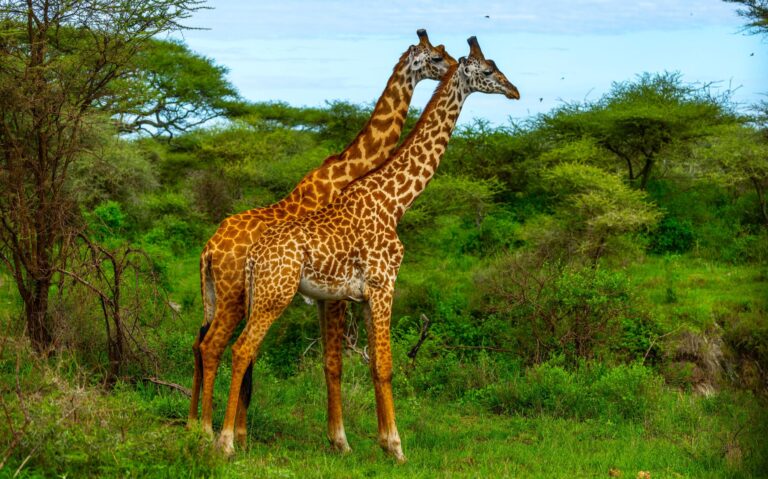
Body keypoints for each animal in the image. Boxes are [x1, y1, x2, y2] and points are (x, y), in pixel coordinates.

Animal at [188, 30, 457, 442]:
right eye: (436, 58)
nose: (457, 66)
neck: (347, 172)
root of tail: (209, 249)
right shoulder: (338, 290)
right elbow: (335, 361)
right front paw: (340, 438)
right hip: (236, 295)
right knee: (215, 346)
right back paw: (208, 430)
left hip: (222, 295)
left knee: (200, 342)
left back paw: (197, 425)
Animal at [218, 37, 519, 460]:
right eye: (489, 70)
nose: (515, 91)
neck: (395, 200)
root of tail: (253, 254)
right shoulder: (382, 284)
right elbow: (385, 365)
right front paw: (395, 446)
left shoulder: (358, 295)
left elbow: (367, 364)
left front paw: (372, 441)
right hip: (274, 294)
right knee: (240, 349)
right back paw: (225, 442)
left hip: (257, 293)